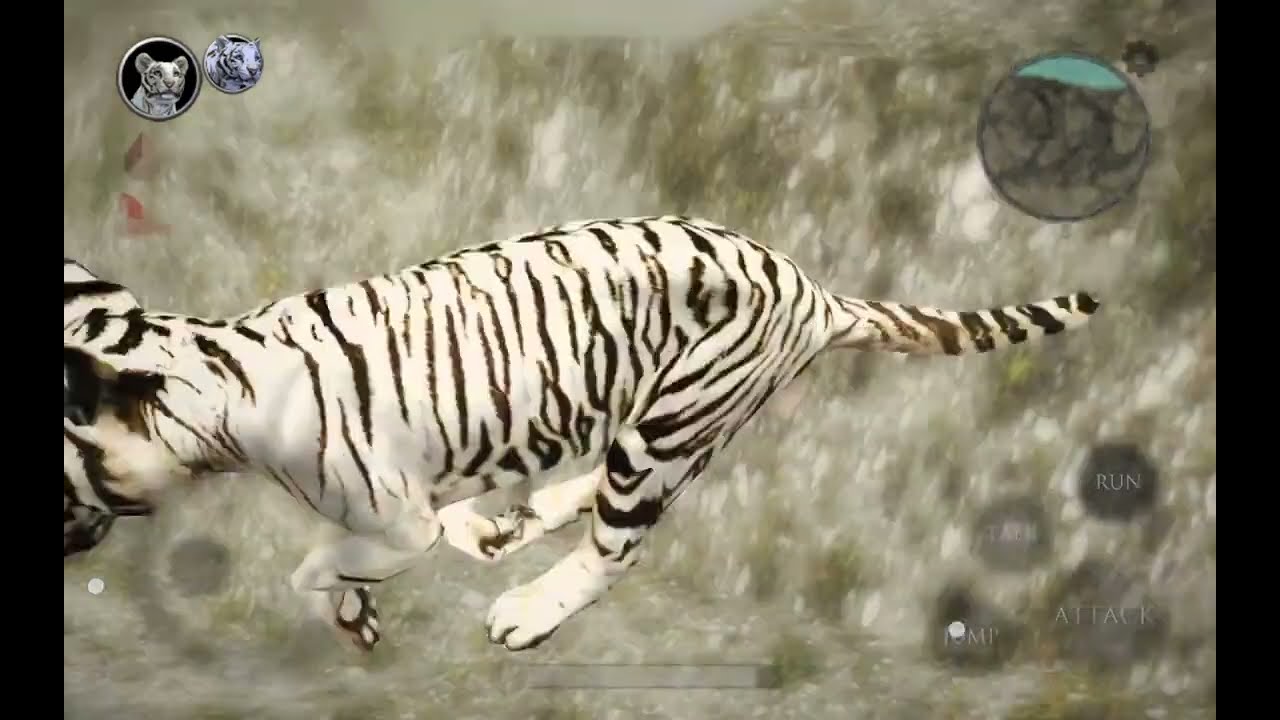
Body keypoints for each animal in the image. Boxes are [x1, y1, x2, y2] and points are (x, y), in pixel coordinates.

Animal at [63, 215, 1099, 652]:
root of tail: (812, 290)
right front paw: (387, 591)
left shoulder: (391, 521)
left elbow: (316, 565)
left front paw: (347, 602)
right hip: (646, 419)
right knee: (588, 497)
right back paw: (516, 524)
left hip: (669, 427)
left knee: (616, 547)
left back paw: (530, 606)